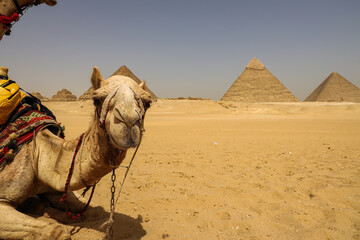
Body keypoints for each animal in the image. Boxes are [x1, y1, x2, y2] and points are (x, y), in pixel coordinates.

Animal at [0, 66, 153, 240]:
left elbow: (95, 209)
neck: (38, 153)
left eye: (148, 103)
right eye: (96, 100)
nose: (129, 121)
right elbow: (57, 231)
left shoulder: (56, 188)